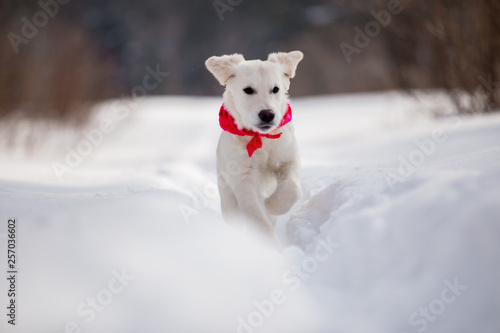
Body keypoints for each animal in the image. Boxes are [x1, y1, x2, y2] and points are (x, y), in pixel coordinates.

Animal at [205, 50, 302, 240]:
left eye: (275, 89)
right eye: (248, 90)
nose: (267, 115)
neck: (260, 138)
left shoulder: (289, 159)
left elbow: (292, 189)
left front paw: (271, 204)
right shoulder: (243, 177)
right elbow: (256, 217)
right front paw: (269, 245)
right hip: (227, 199)